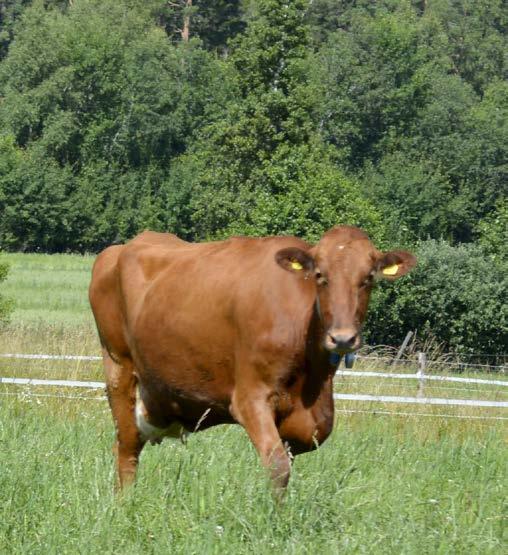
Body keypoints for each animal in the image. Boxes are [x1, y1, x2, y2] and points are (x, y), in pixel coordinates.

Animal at [89, 226, 414, 490]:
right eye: (321, 276)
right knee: (127, 450)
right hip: (119, 368)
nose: (343, 338)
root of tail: (118, 249)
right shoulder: (251, 396)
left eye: (368, 278)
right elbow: (277, 466)